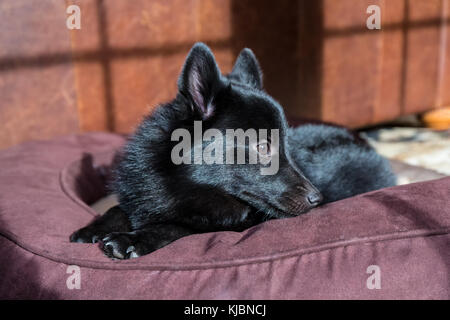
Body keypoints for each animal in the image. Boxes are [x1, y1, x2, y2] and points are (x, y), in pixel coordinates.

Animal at [70, 42, 394, 258]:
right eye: (263, 146)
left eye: (287, 144)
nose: (318, 199)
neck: (183, 180)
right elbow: (118, 207)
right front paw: (94, 227)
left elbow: (180, 226)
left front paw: (132, 239)